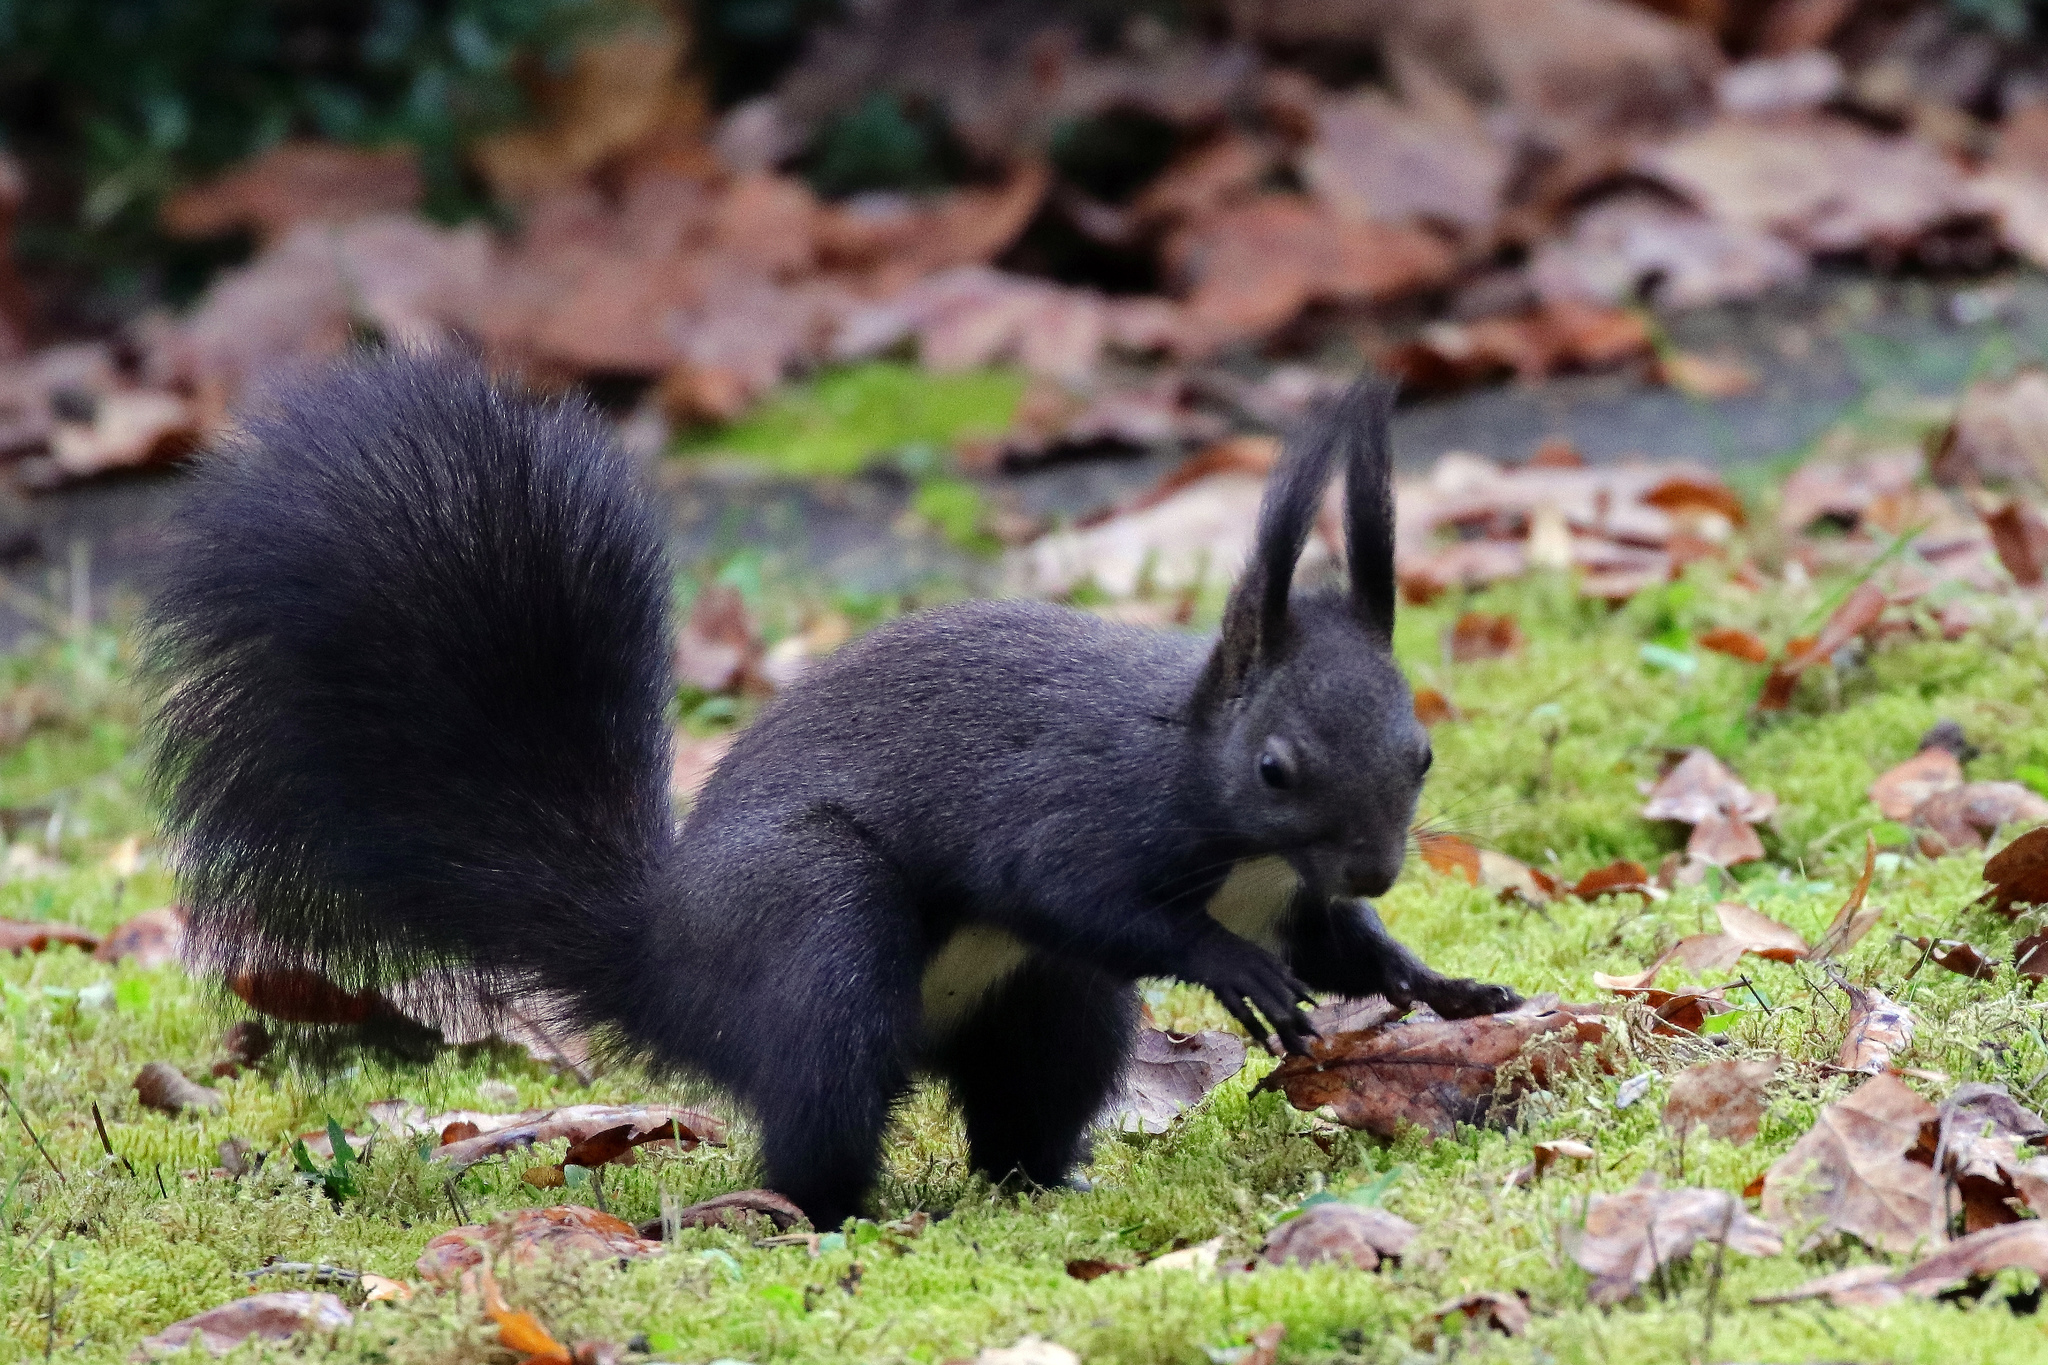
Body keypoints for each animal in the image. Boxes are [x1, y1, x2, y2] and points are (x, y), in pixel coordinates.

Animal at [148, 351, 1523, 1227]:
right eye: (1276, 765)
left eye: (1421, 752)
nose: (1376, 861)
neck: (1225, 816)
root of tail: (672, 964)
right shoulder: (1071, 807)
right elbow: (1090, 896)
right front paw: (1230, 967)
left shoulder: (1296, 897)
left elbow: (1346, 951)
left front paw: (1443, 985)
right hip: (816, 930)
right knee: (823, 1110)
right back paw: (815, 1214)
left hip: (1047, 1008)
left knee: (1018, 1113)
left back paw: (1046, 1183)